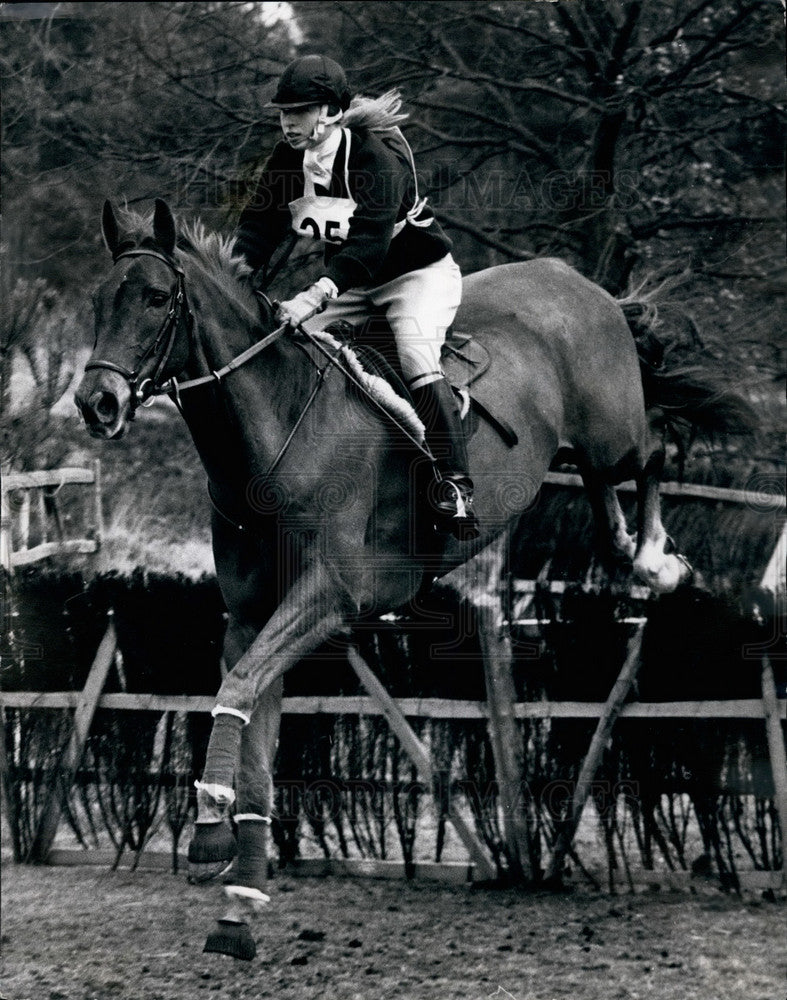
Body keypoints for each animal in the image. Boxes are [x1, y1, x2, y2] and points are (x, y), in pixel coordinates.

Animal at [77, 199, 756, 956]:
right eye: (99, 301)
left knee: (653, 452)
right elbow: (250, 721)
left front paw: (207, 836)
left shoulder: (329, 596)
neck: (273, 431)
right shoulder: (251, 618)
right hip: (584, 450)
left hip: (611, 430)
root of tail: (580, 283)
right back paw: (633, 549)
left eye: (154, 298)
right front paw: (239, 900)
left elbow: (238, 690)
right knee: (607, 493)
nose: (96, 402)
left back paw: (655, 561)